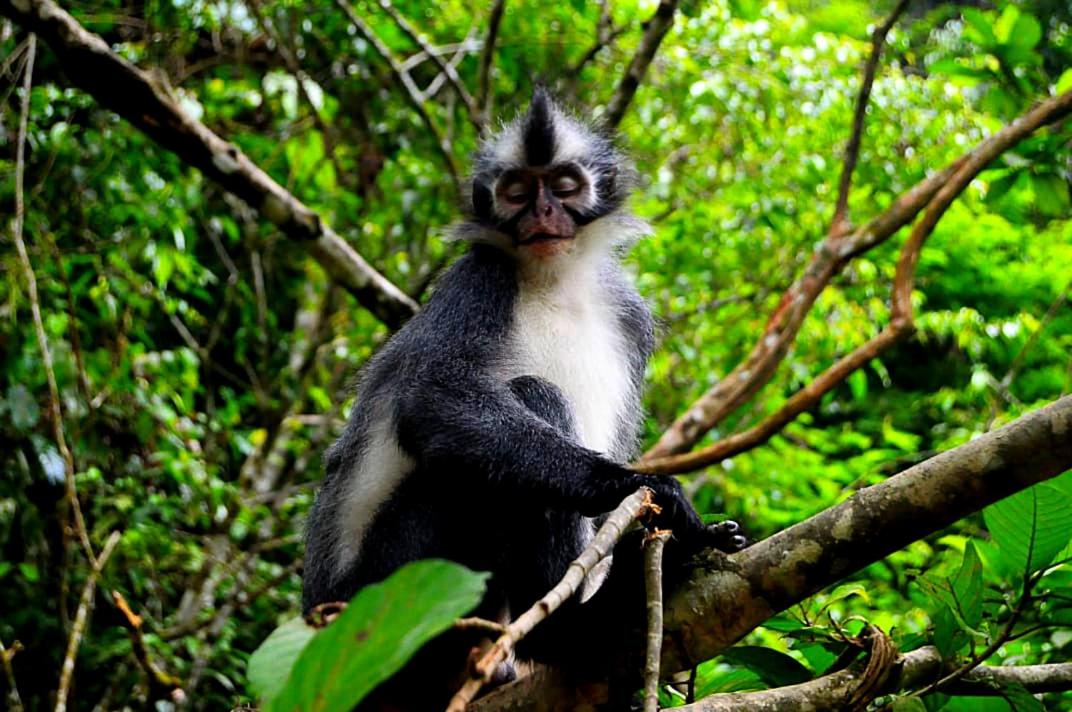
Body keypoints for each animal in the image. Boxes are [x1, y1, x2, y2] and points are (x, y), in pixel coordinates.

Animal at [301, 87, 745, 707]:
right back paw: (578, 626)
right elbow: (432, 399)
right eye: (516, 192)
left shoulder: (631, 317)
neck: (554, 282)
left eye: (563, 185)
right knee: (528, 402)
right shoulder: (479, 280)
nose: (542, 213)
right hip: (383, 594)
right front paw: (643, 487)